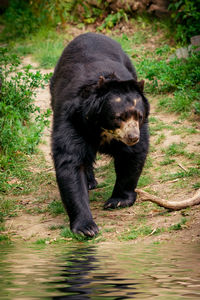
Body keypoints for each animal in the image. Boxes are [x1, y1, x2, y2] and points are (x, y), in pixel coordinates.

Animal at [50, 32, 148, 237]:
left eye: (139, 116)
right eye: (119, 117)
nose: (133, 137)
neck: (102, 127)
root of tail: (90, 33)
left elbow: (132, 156)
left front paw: (117, 201)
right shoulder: (72, 120)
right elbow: (70, 161)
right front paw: (87, 228)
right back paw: (89, 182)